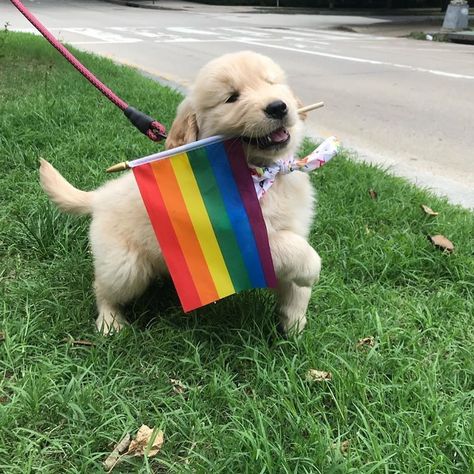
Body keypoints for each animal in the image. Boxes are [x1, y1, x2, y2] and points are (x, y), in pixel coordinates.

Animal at [39, 50, 322, 336]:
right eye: (232, 97)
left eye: (271, 83)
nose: (278, 106)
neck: (263, 173)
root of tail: (101, 195)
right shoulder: (232, 240)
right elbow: (293, 248)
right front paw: (312, 269)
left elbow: (296, 286)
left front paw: (294, 325)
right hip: (125, 265)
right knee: (102, 287)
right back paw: (110, 321)